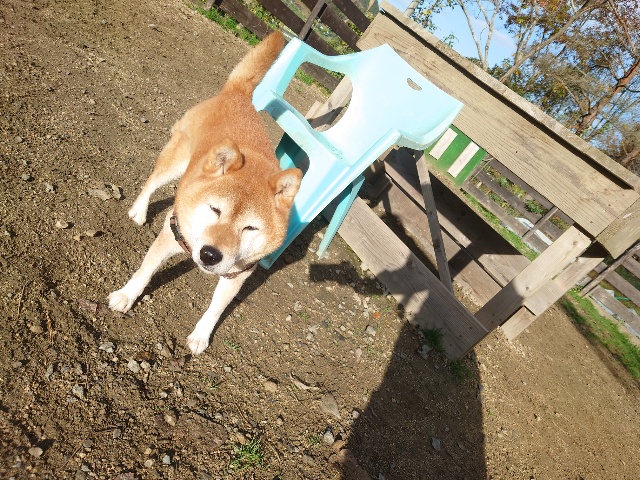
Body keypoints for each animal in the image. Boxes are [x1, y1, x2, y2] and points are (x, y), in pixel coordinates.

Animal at [108, 32, 302, 355]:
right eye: (215, 209)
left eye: (250, 228)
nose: (210, 255)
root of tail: (239, 94)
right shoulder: (171, 232)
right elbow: (145, 271)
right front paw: (126, 295)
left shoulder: (238, 273)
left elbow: (216, 308)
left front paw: (201, 335)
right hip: (176, 161)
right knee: (152, 180)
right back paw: (139, 210)